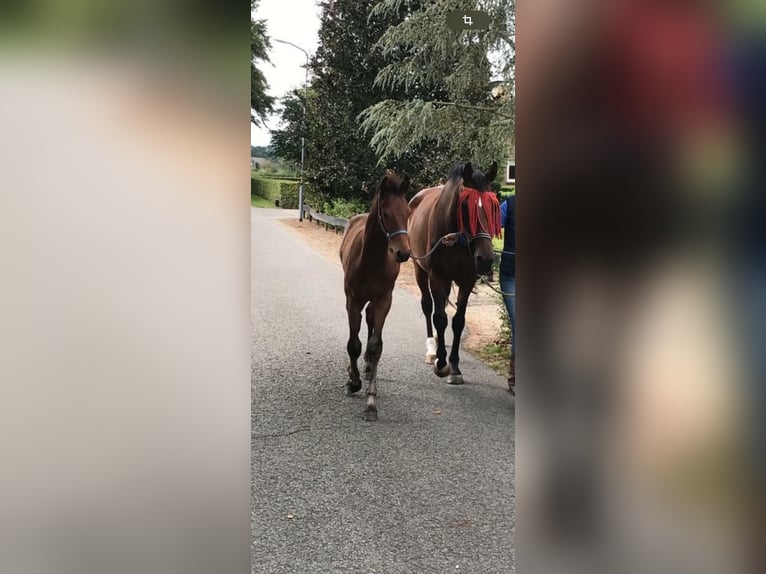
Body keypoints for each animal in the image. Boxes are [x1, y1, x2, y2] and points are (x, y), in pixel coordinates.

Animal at [342, 172, 414, 424]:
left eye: (408, 212)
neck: (370, 260)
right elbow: (353, 344)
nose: (403, 253)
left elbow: (375, 346)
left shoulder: (384, 300)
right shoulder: (352, 301)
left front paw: (371, 403)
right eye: (386, 213)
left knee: (371, 322)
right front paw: (352, 382)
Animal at [412, 162, 500, 388]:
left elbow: (458, 321)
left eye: (493, 207)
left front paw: (454, 368)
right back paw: (431, 349)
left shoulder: (467, 280)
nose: (486, 259)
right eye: (466, 206)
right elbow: (440, 318)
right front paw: (442, 363)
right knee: (428, 306)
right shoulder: (436, 276)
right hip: (420, 270)